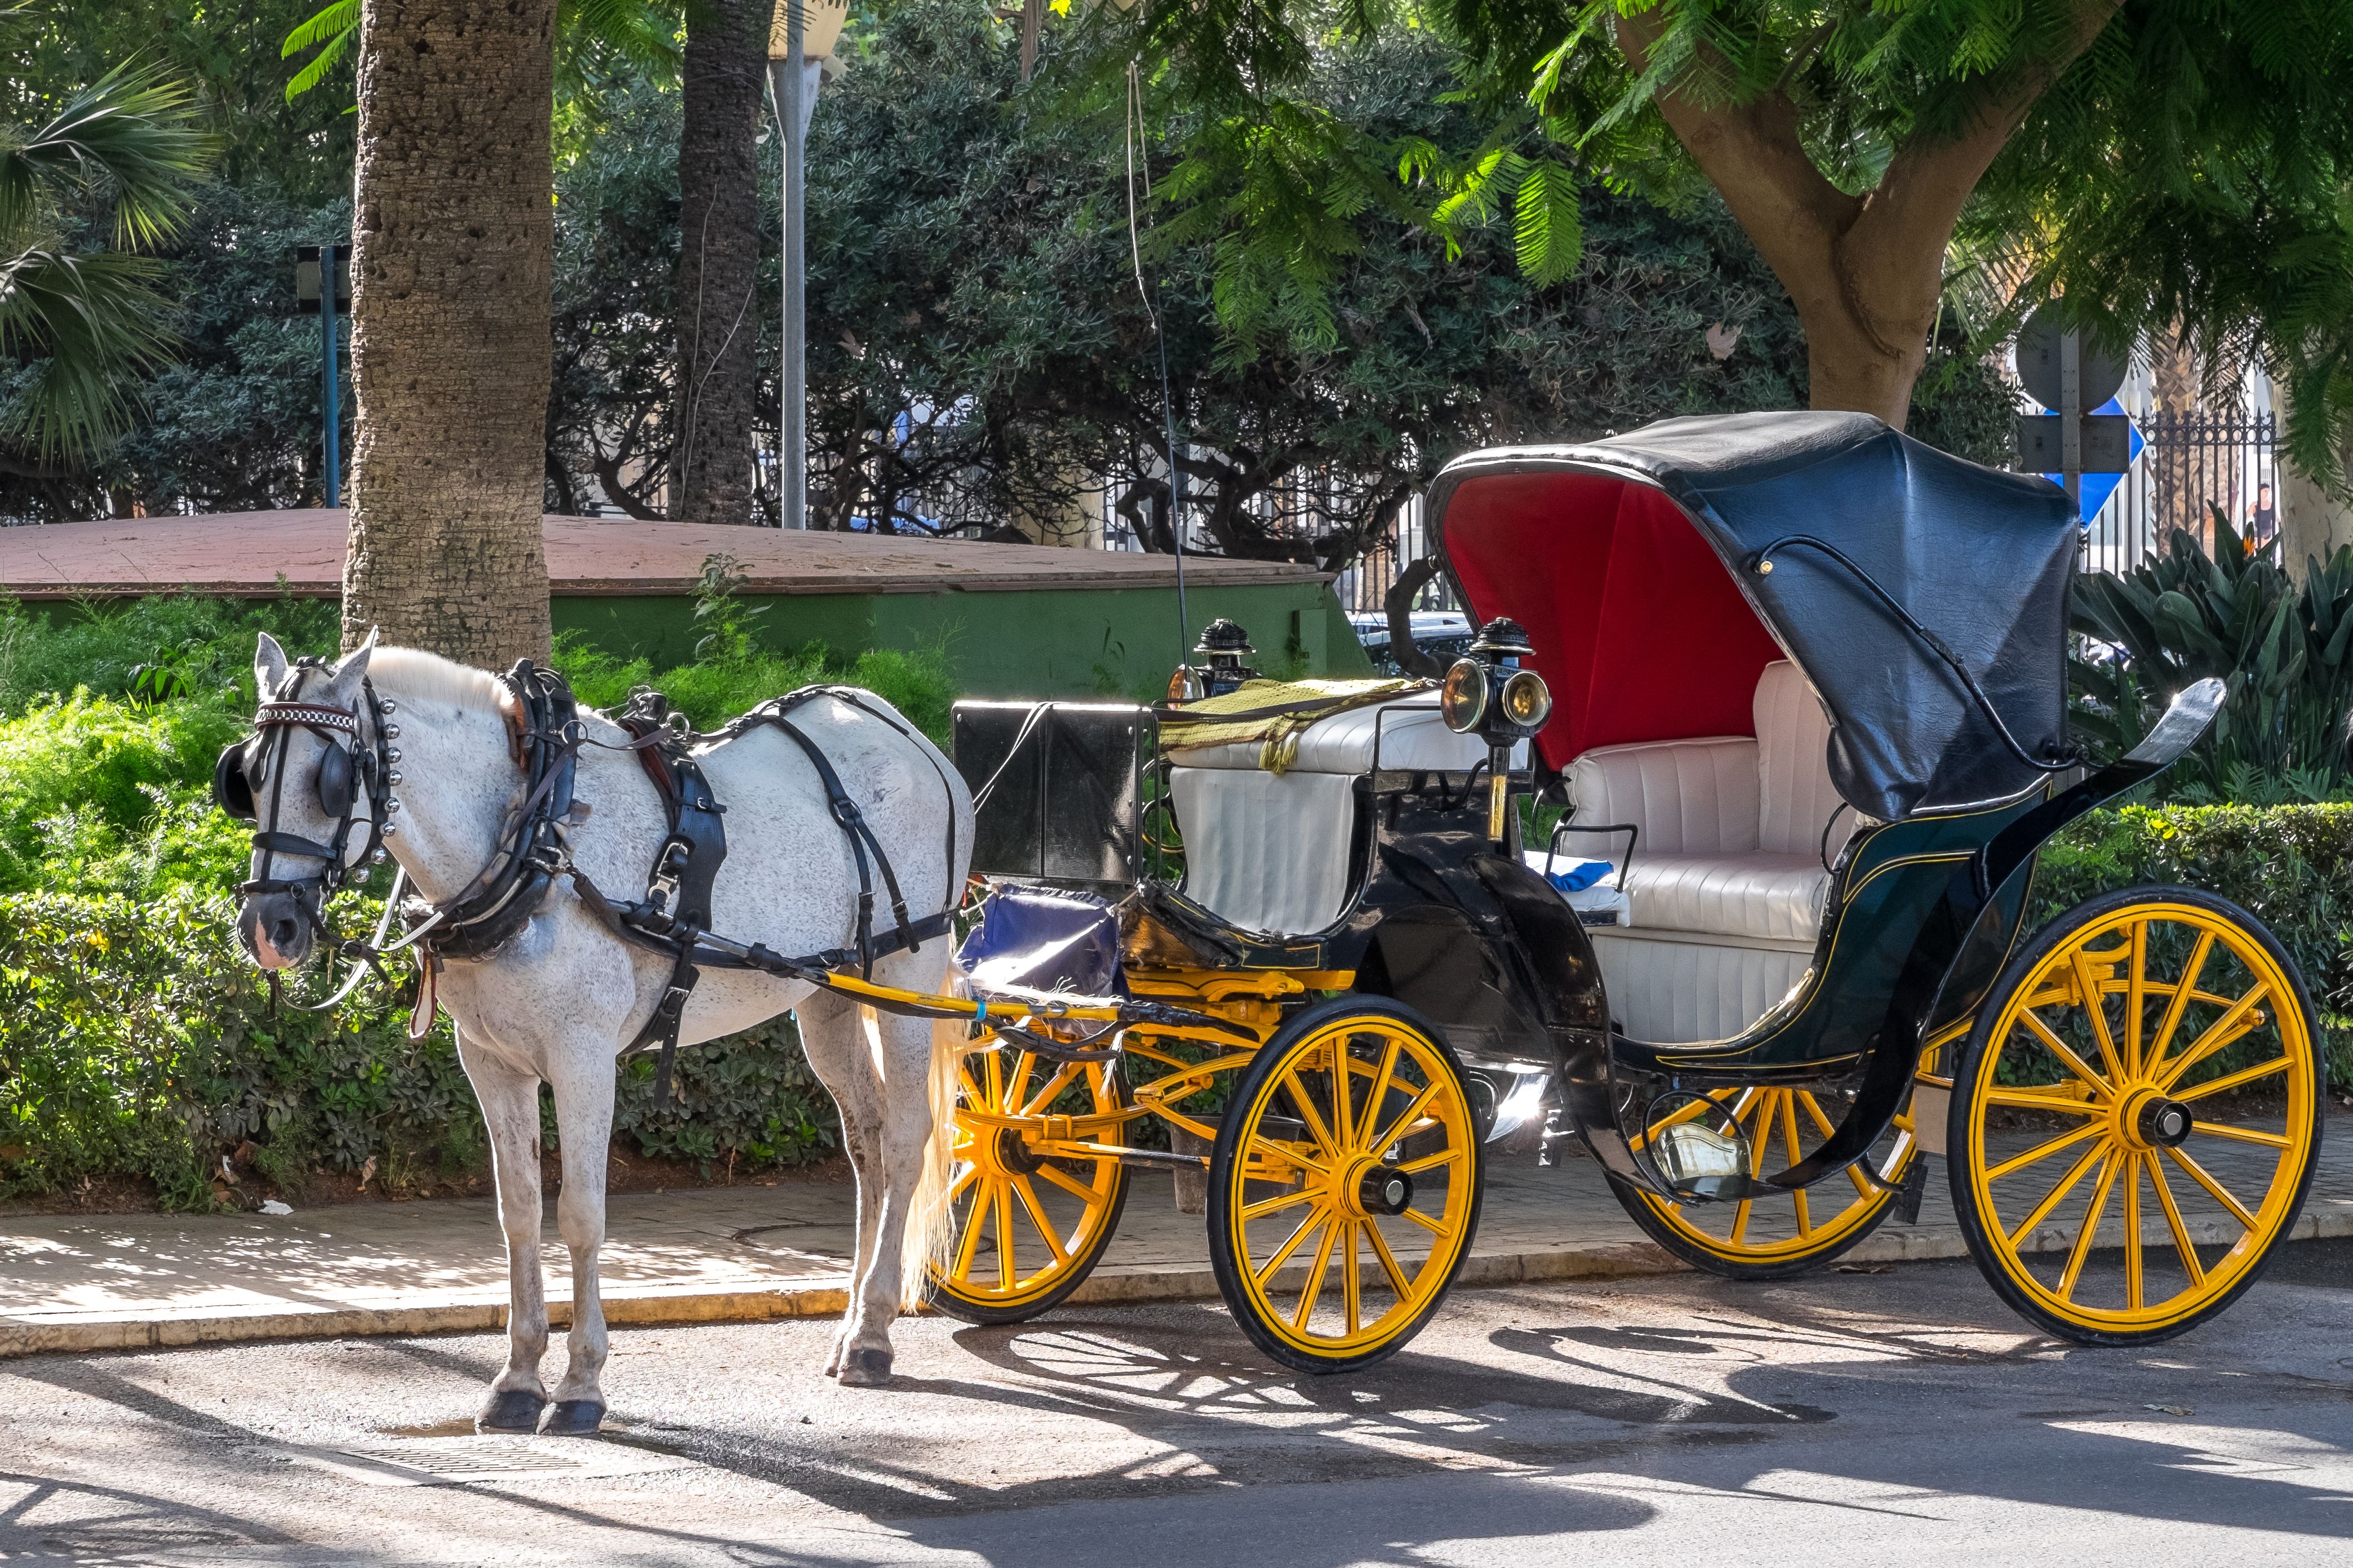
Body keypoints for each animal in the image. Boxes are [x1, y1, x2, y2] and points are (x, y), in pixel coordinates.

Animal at [222, 632, 973, 1433]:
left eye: (329, 777)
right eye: (248, 775)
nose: (269, 926)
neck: (534, 838)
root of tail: (907, 732)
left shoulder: (583, 1059)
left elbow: (580, 1214)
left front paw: (582, 1382)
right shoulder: (490, 1060)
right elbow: (519, 1212)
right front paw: (518, 1378)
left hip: (907, 973)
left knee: (905, 1140)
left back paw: (872, 1336)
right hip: (828, 997)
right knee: (866, 1143)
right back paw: (853, 1323)